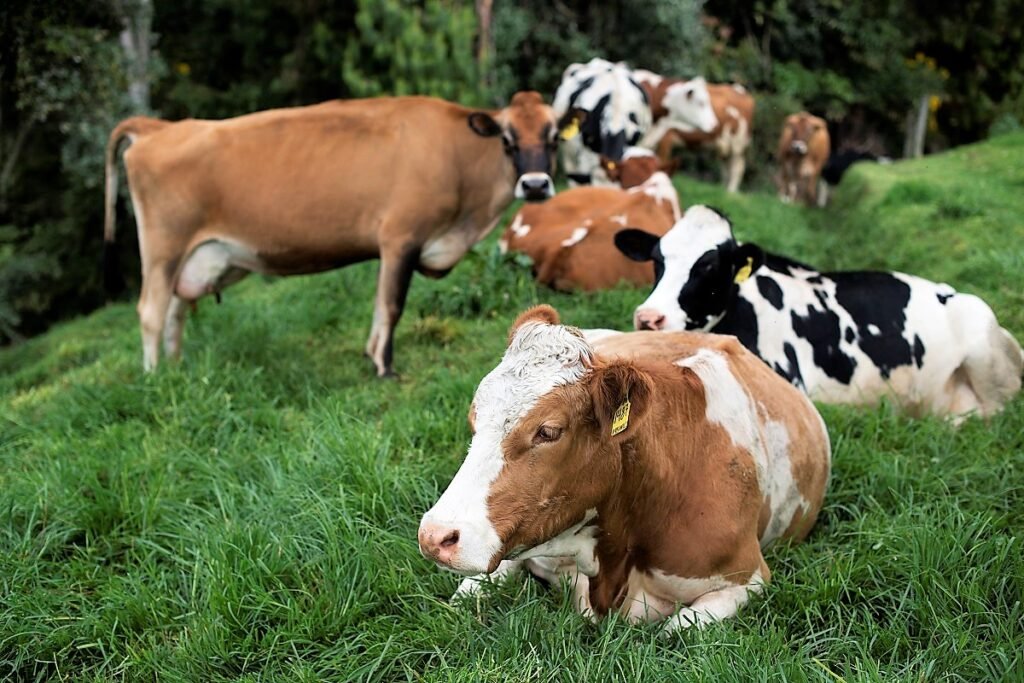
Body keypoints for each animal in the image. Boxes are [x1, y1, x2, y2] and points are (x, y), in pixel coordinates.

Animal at [104, 92, 562, 377]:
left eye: (555, 137)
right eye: (507, 140)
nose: (535, 185)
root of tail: (159, 127)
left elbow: (378, 305)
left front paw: (371, 356)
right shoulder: (400, 237)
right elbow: (391, 306)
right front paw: (384, 367)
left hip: (192, 258)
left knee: (175, 312)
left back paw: (176, 369)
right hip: (163, 249)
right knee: (151, 312)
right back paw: (154, 378)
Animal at [418, 305, 831, 632]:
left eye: (548, 431)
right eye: (474, 418)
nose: (435, 536)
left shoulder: (747, 578)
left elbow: (676, 630)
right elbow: (466, 596)